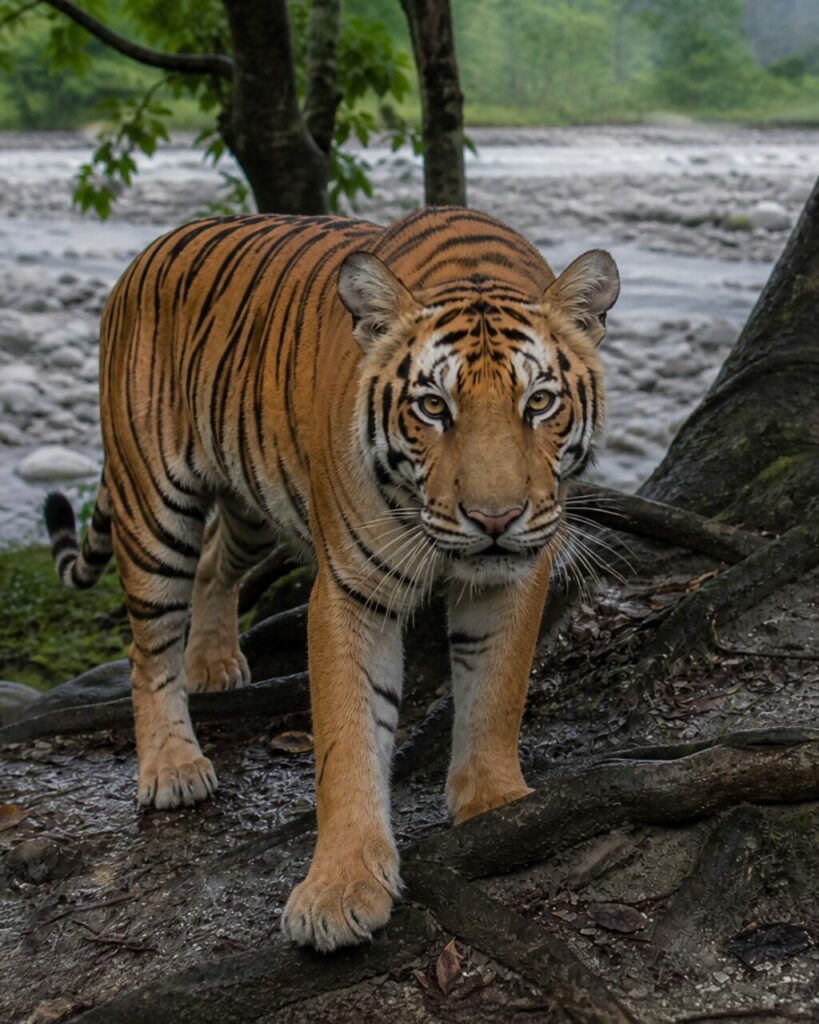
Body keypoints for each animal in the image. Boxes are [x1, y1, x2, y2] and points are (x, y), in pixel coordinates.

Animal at [44, 206, 618, 952]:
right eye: (434, 407)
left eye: (540, 402)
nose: (494, 518)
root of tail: (149, 251)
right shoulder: (351, 590)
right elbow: (347, 737)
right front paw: (340, 889)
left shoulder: (512, 574)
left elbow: (496, 691)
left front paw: (493, 806)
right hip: (151, 504)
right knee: (149, 646)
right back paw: (171, 765)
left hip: (253, 501)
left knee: (213, 565)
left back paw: (214, 662)